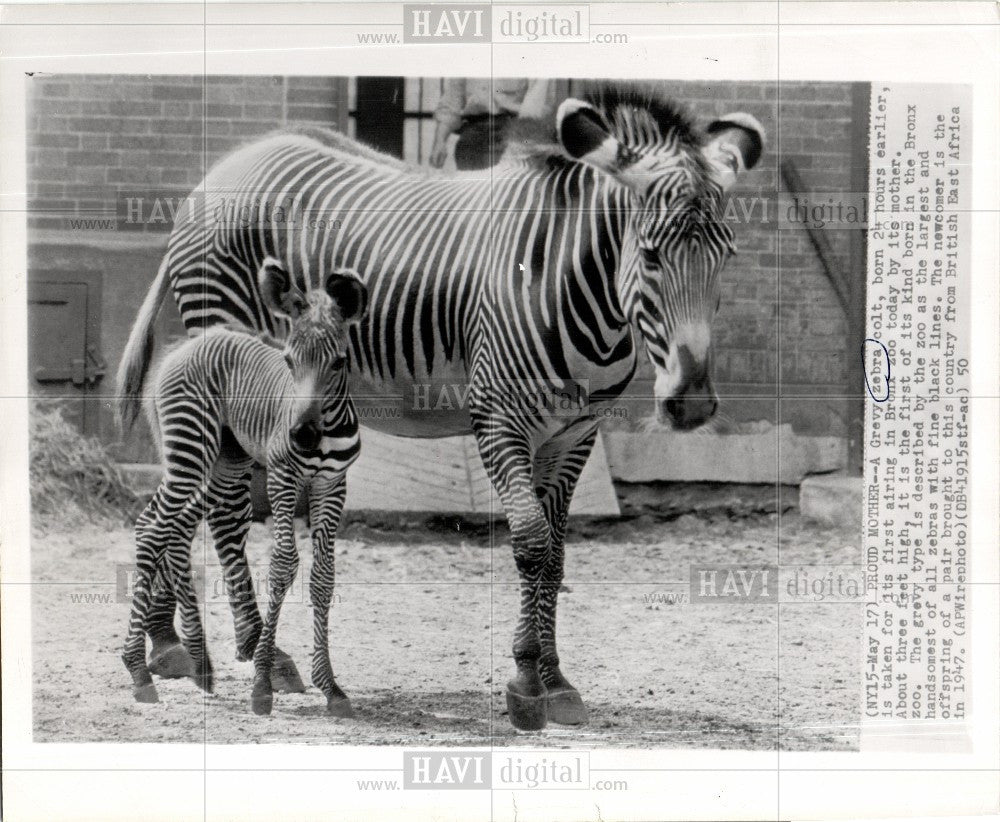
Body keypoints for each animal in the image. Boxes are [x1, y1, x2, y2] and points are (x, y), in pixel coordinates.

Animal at [118, 260, 368, 716]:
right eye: (288, 361)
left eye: (340, 363)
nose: (302, 435)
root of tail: (184, 348)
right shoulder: (284, 477)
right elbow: (284, 563)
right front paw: (262, 684)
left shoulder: (332, 484)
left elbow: (324, 576)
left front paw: (331, 687)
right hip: (191, 452)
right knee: (152, 527)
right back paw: (139, 672)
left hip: (226, 462)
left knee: (175, 530)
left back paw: (200, 664)